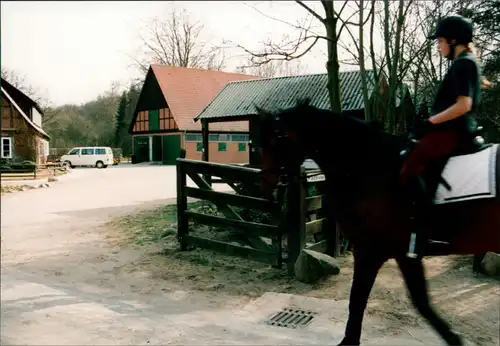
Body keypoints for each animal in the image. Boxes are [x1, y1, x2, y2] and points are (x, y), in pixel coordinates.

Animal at [256, 99, 498, 346]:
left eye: (277, 138)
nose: (263, 186)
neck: (371, 169)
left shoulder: (375, 251)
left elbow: (361, 299)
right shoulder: (397, 254)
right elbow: (414, 301)